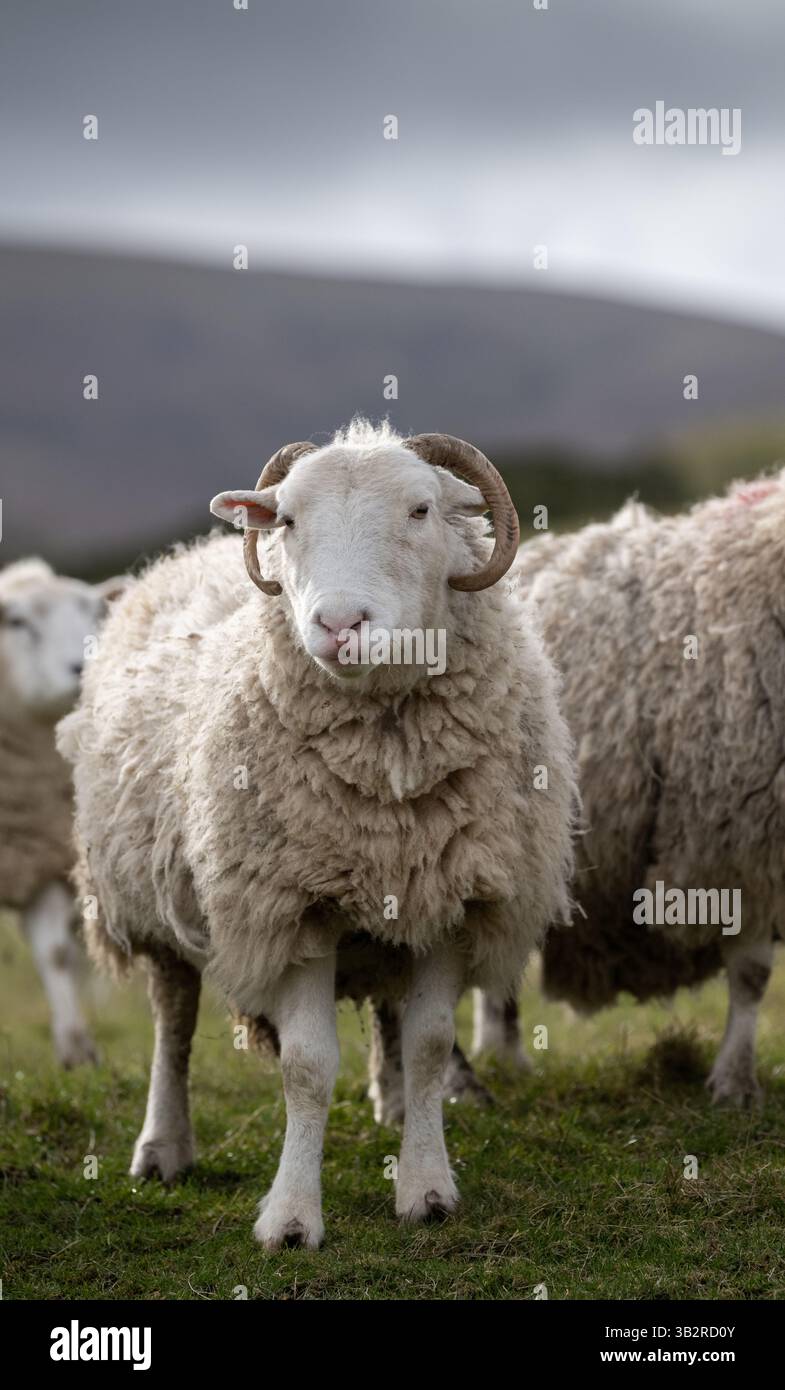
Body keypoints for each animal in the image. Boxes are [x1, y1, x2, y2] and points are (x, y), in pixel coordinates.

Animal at [58, 419, 576, 1248]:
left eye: (421, 510)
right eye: (289, 520)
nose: (337, 626)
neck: (387, 773)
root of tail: (178, 558)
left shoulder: (451, 899)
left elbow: (429, 1046)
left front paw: (426, 1187)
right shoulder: (291, 903)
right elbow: (304, 1066)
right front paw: (291, 1217)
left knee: (388, 1013)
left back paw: (391, 1106)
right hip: (150, 900)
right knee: (173, 1022)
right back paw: (163, 1147)